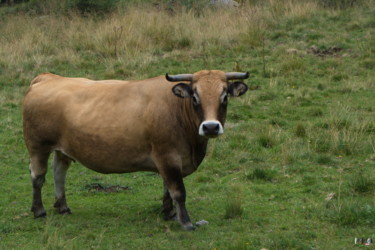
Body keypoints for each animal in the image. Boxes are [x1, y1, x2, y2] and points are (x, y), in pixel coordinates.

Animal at [21, 69, 250, 229]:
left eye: (224, 97)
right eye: (195, 97)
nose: (210, 126)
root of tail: (48, 77)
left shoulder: (169, 161)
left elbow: (167, 188)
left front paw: (169, 213)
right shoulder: (167, 156)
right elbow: (178, 191)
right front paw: (185, 222)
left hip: (62, 149)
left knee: (59, 172)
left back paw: (62, 206)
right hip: (37, 146)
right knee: (37, 176)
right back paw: (39, 210)